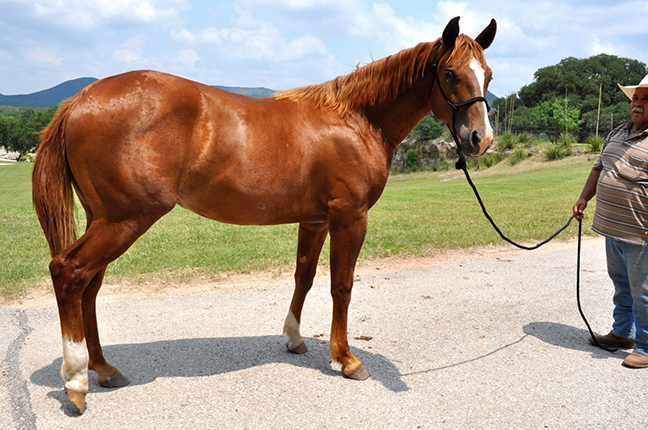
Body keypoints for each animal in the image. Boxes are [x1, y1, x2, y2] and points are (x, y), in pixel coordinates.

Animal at [31, 17, 496, 414]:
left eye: (487, 74)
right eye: (450, 73)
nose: (481, 139)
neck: (356, 120)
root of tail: (80, 99)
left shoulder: (315, 220)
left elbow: (304, 277)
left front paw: (293, 338)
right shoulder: (350, 217)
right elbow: (341, 286)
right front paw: (345, 359)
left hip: (103, 219)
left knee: (89, 288)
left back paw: (103, 368)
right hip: (125, 220)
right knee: (69, 272)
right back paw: (76, 381)